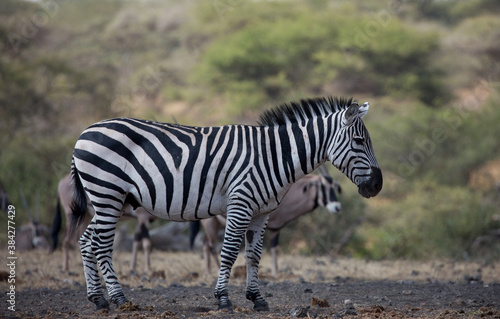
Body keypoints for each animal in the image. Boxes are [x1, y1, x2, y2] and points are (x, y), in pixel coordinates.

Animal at [70, 97, 382, 312]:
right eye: (358, 140)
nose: (377, 185)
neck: (273, 156)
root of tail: (84, 133)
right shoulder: (240, 204)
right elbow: (230, 252)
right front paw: (223, 299)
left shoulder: (262, 212)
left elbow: (254, 255)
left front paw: (257, 299)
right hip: (107, 193)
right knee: (101, 244)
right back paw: (119, 298)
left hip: (113, 200)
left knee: (87, 241)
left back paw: (98, 299)